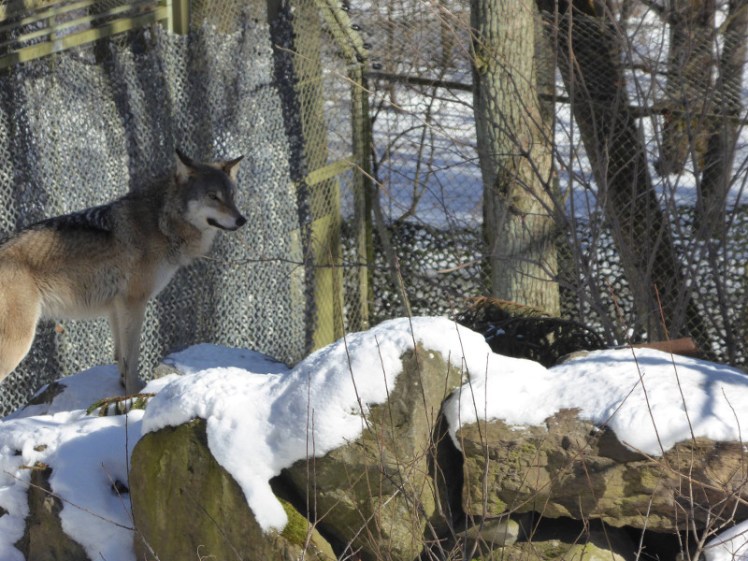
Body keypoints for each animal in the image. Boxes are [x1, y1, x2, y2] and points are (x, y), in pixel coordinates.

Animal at [0, 150, 246, 394]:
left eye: (232, 196)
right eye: (213, 196)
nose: (242, 220)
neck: (162, 222)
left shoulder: (116, 308)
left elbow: (120, 357)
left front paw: (123, 389)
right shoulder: (133, 302)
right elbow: (132, 356)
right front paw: (136, 392)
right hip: (19, 343)